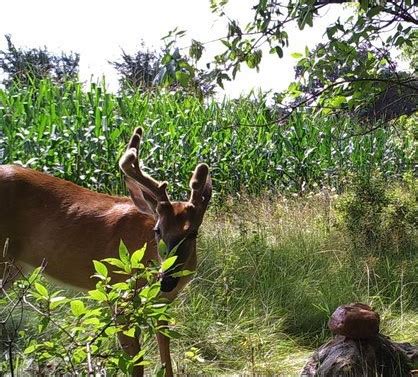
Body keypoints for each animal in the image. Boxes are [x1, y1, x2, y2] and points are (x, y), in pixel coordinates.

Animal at [0, 127, 212, 376]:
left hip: (14, 268)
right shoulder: (119, 294)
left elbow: (165, 353)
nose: (167, 281)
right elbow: (136, 361)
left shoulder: (163, 303)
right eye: (158, 230)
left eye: (193, 233)